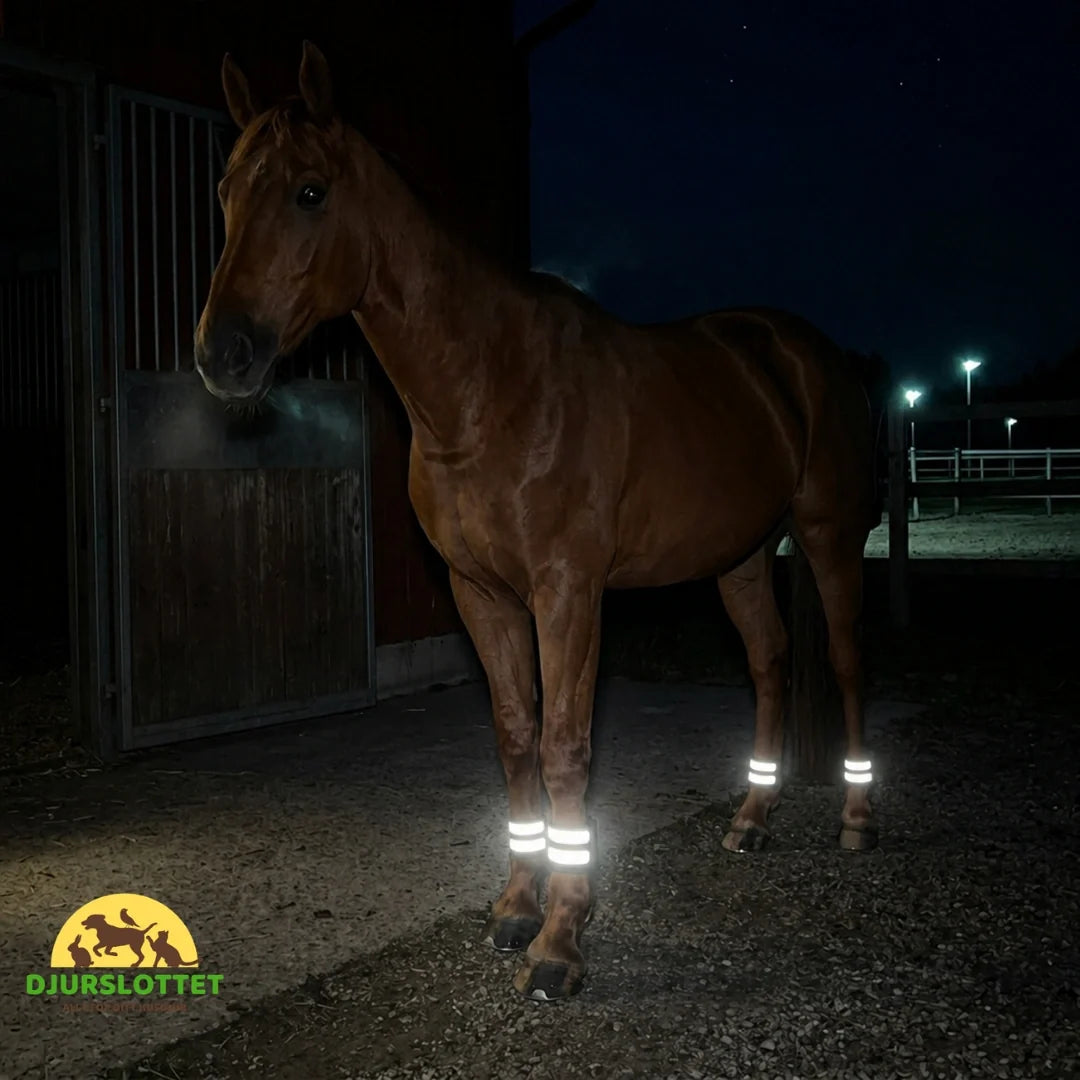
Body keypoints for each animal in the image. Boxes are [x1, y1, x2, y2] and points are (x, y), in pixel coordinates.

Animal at [194, 41, 880, 1002]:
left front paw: (562, 940)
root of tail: (803, 351)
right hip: (741, 558)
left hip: (828, 537)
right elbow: (517, 738)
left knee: (848, 663)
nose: (223, 353)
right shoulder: (480, 593)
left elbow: (564, 749)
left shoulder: (568, 593)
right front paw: (518, 908)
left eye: (309, 191)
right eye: (226, 189)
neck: (490, 389)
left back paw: (856, 817)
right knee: (771, 665)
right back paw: (752, 817)